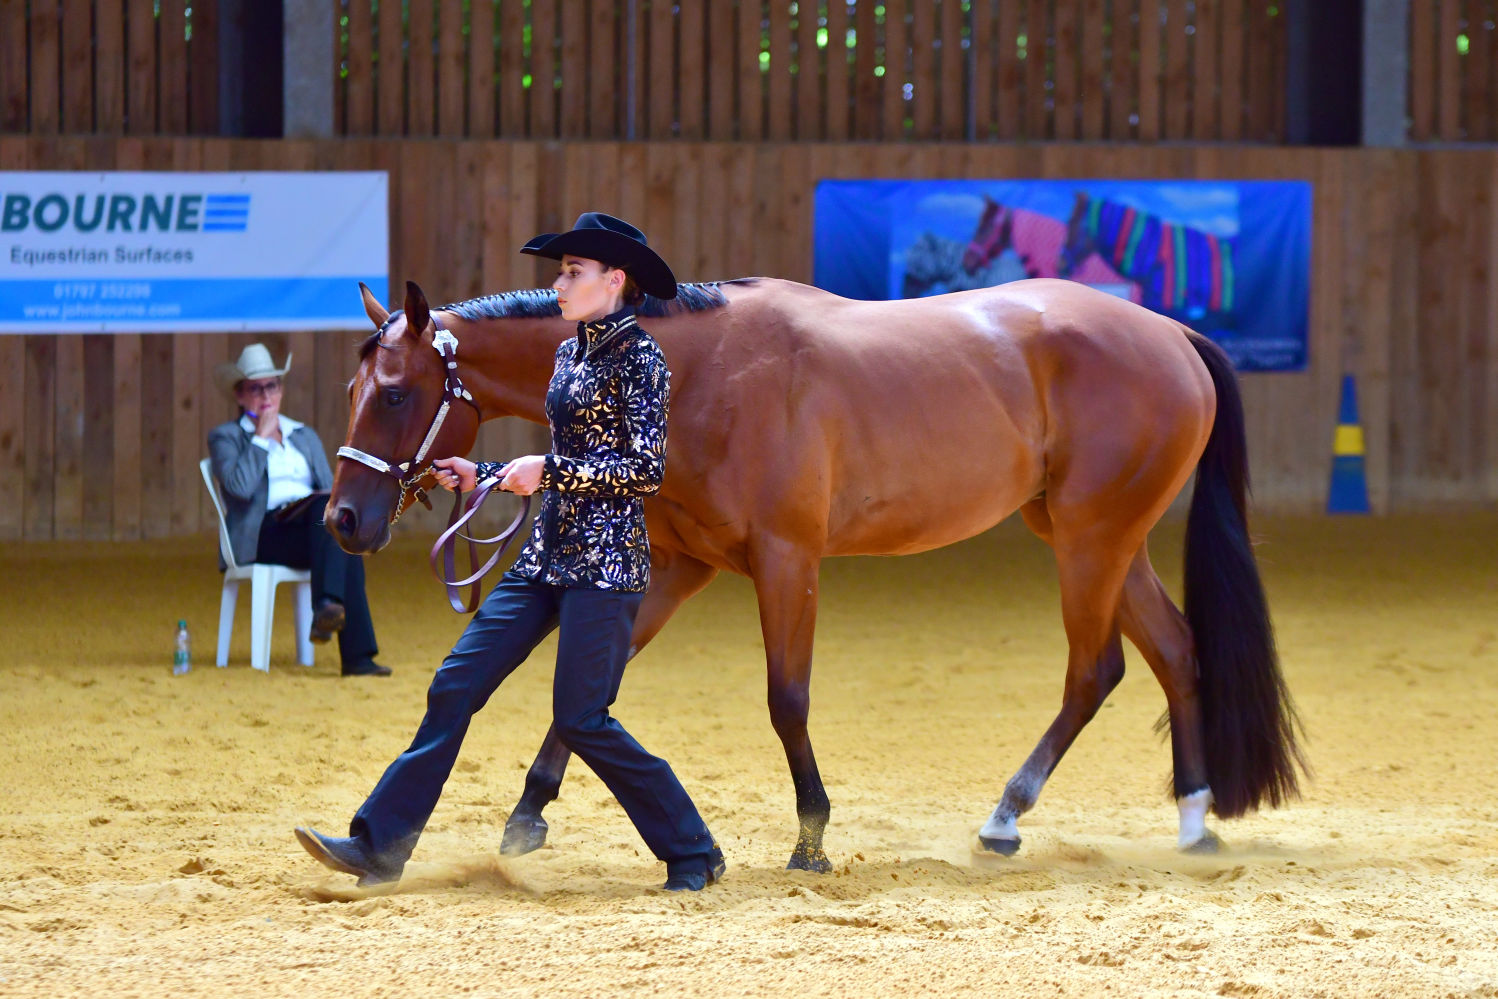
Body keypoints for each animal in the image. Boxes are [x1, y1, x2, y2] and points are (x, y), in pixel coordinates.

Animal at [325, 275, 1300, 874]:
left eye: (399, 393)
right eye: (353, 389)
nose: (343, 521)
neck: (698, 370)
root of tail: (1171, 332)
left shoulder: (787, 560)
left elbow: (785, 697)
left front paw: (812, 836)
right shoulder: (680, 566)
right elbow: (594, 689)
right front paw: (528, 813)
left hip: (1091, 542)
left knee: (1095, 670)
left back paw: (1005, 818)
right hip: (1096, 538)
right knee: (1176, 651)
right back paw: (1192, 819)